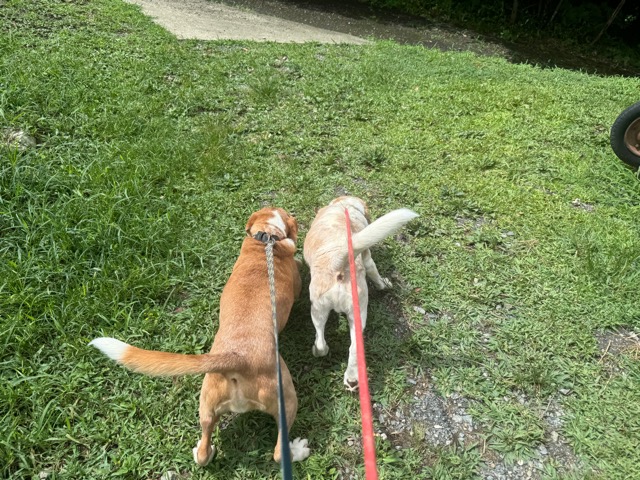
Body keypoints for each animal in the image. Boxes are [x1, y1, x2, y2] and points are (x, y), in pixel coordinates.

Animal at [90, 207, 310, 466]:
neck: (266, 238)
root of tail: (237, 359)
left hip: (207, 404)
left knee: (204, 451)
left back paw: (203, 451)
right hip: (286, 398)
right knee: (277, 452)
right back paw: (298, 449)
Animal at [303, 197, 418, 391]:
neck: (344, 206)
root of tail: (338, 260)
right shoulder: (369, 260)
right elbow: (376, 275)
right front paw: (384, 285)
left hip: (322, 310)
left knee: (325, 343)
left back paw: (344, 373)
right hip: (347, 309)